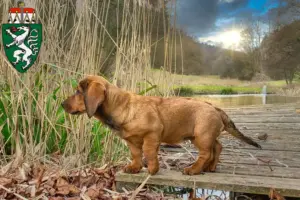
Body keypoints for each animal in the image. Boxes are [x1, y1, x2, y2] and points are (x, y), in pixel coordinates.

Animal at [61, 75, 260, 175]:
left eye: (78, 92)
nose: (62, 104)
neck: (123, 106)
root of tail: (215, 107)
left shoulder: (152, 135)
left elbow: (149, 153)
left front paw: (152, 170)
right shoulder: (131, 141)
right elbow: (136, 154)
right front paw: (134, 168)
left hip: (201, 137)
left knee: (206, 153)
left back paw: (194, 169)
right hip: (202, 136)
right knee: (218, 147)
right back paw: (210, 168)